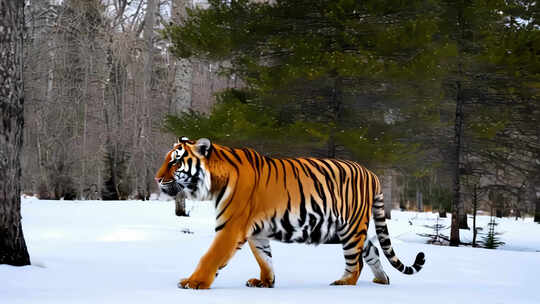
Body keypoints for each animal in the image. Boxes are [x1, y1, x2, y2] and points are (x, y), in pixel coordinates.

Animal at [154, 137, 424, 288]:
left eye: (175, 162)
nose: (157, 179)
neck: (214, 182)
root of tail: (372, 174)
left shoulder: (230, 227)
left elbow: (210, 257)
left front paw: (194, 283)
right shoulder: (256, 232)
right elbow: (264, 259)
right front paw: (265, 282)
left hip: (351, 227)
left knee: (355, 261)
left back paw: (343, 283)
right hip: (347, 229)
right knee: (372, 249)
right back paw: (381, 280)